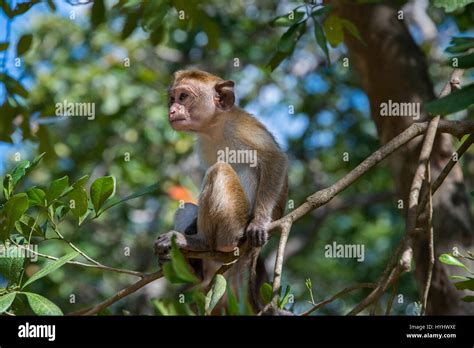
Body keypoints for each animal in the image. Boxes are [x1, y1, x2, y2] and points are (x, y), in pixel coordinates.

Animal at [156, 68, 288, 310]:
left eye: (183, 97)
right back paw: (193, 265)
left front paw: (259, 222)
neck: (214, 127)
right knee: (188, 206)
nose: (172, 110)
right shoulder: (203, 143)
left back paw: (201, 242)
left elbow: (275, 160)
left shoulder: (242, 128)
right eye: (172, 98)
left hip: (237, 225)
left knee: (221, 170)